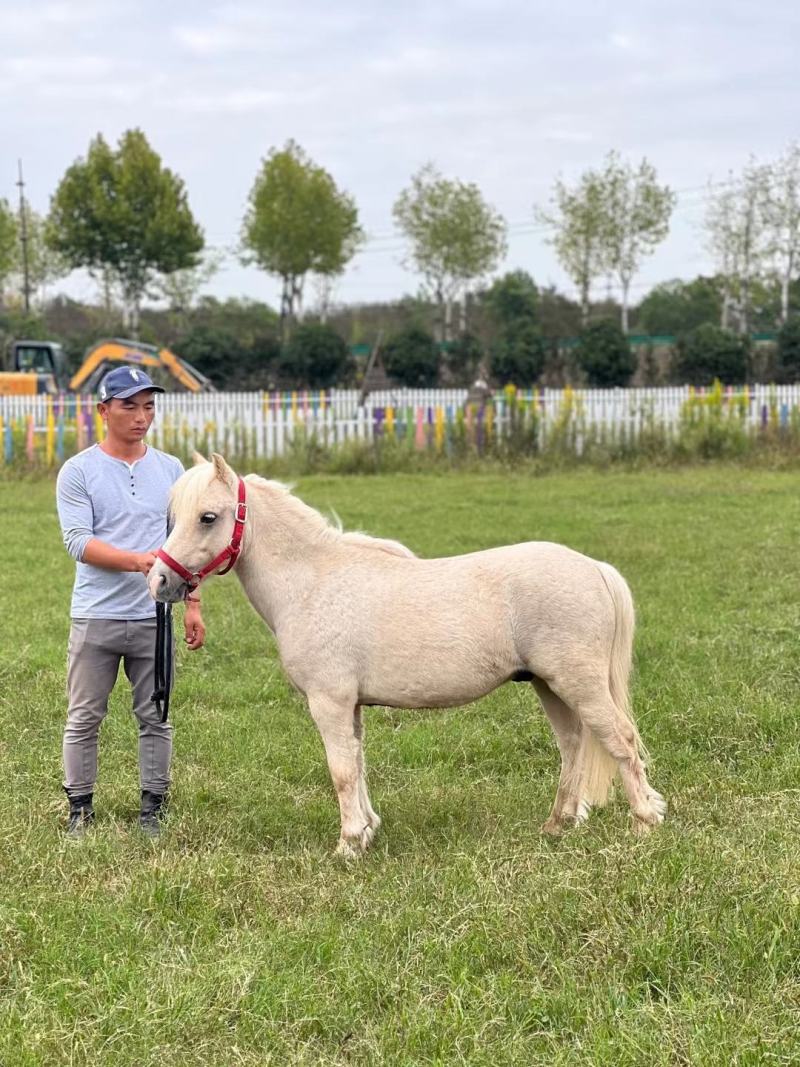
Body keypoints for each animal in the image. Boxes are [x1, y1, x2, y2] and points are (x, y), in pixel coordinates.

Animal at [148, 453, 666, 856]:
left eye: (208, 517)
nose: (159, 581)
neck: (312, 582)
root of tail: (593, 567)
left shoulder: (329, 702)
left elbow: (341, 770)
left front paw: (347, 845)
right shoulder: (351, 706)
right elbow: (357, 764)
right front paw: (366, 831)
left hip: (578, 683)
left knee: (620, 740)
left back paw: (644, 821)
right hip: (549, 685)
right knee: (573, 745)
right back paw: (558, 824)